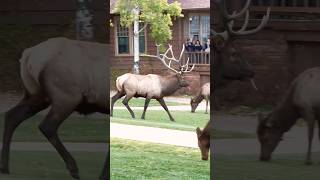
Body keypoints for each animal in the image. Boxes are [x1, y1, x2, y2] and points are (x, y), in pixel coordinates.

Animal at [0, 37, 109, 179]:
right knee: (47, 126)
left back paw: (4, 166)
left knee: (11, 116)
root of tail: (27, 56)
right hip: (66, 96)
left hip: (37, 95)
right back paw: (73, 168)